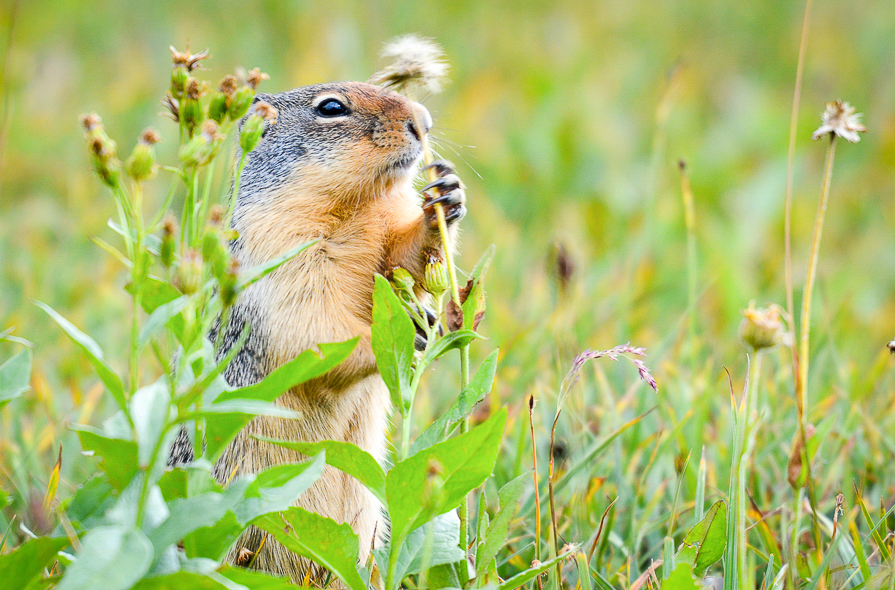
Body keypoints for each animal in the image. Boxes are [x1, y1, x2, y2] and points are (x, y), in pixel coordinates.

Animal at [166, 82, 468, 584]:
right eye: (331, 107)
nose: (423, 120)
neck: (357, 207)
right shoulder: (280, 253)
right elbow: (315, 326)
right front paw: (405, 331)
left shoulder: (381, 236)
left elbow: (401, 259)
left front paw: (445, 196)